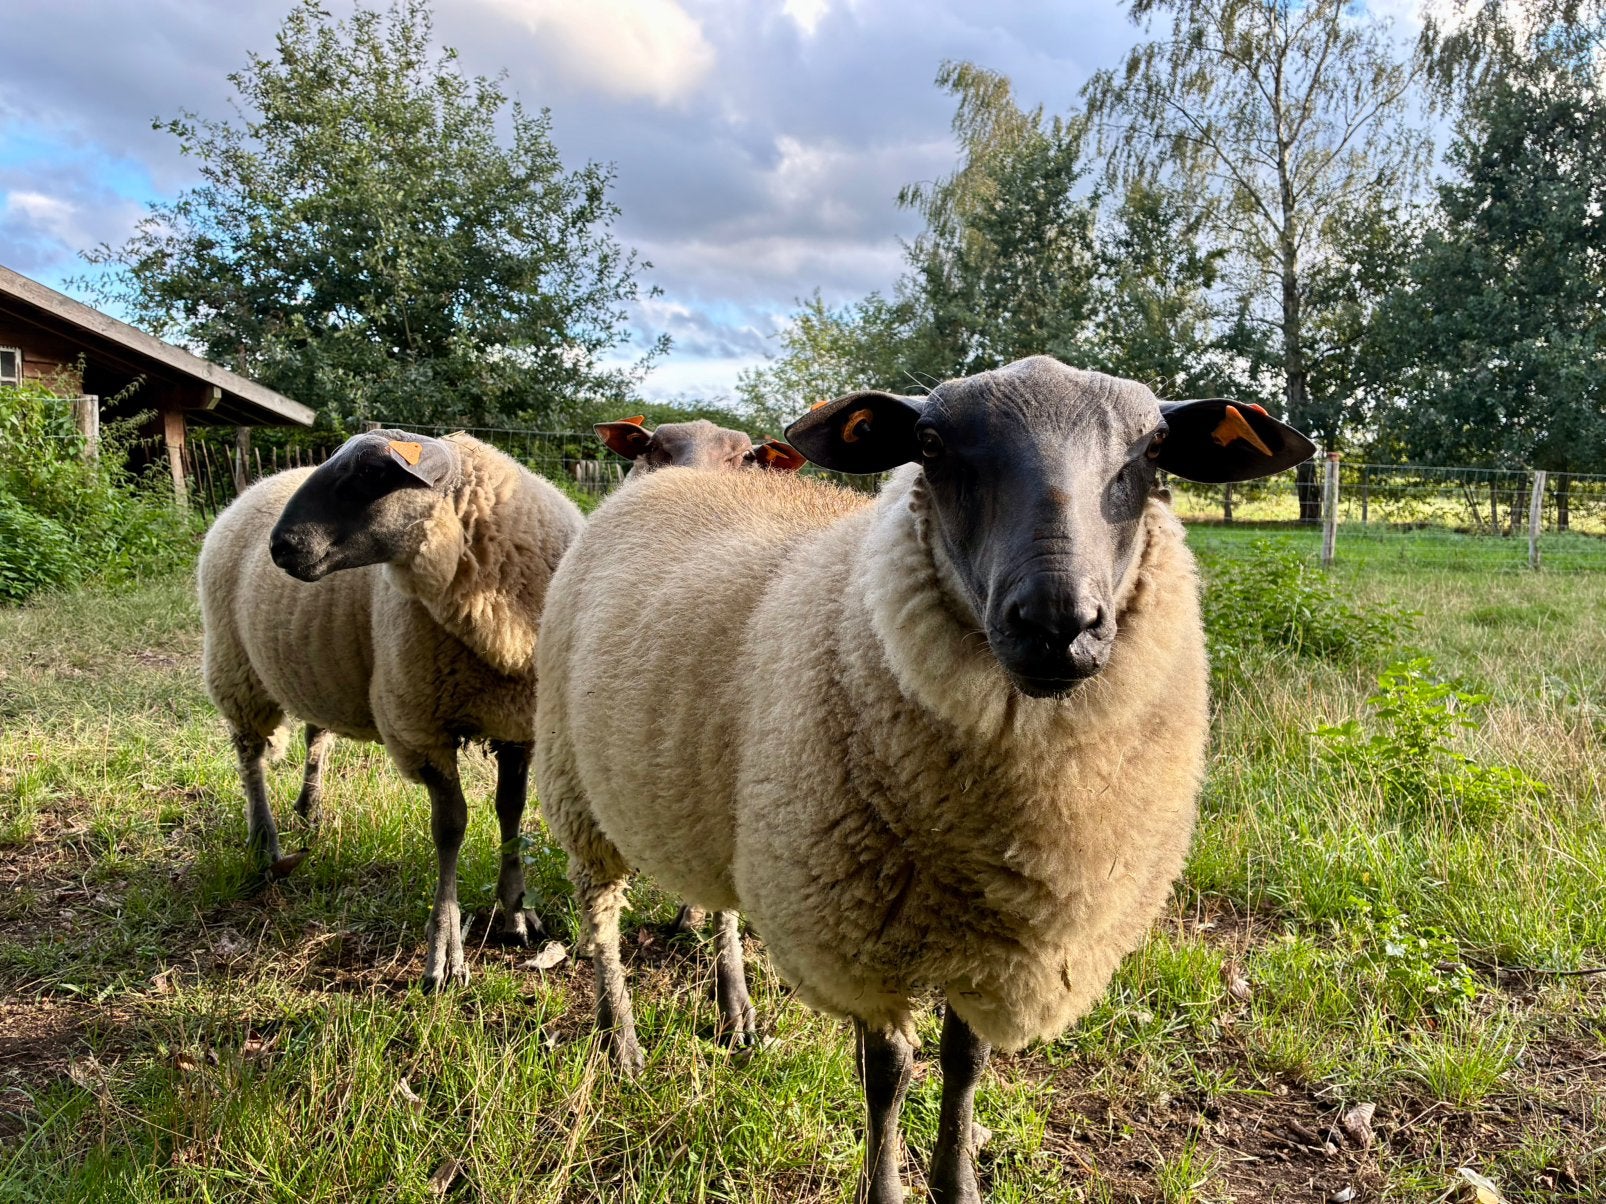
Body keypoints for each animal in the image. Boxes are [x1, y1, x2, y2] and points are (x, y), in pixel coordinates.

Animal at [199, 429, 585, 991]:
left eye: (370, 473)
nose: (280, 546)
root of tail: (256, 485)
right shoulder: (420, 728)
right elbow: (451, 827)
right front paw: (445, 951)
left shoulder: (519, 727)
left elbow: (510, 812)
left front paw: (515, 912)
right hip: (235, 669)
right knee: (251, 758)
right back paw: (265, 841)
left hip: (319, 669)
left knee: (316, 735)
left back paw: (309, 810)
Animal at [533, 357, 1314, 1202]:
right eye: (932, 446)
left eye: (1157, 450)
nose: (1057, 624)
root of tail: (656, 485)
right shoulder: (858, 938)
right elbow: (888, 1073)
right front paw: (886, 1186)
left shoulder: (997, 947)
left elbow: (964, 1062)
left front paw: (958, 1179)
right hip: (575, 782)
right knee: (601, 916)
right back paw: (620, 1041)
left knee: (717, 905)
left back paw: (733, 1007)